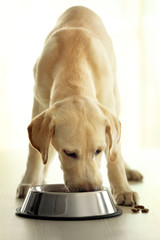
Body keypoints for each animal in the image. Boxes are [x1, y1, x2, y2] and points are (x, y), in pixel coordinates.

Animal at [16, 6, 142, 204]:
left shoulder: (108, 106)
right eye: (69, 153)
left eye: (98, 151)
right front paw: (29, 181)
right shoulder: (39, 104)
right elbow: (35, 153)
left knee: (116, 147)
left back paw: (128, 169)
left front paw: (123, 189)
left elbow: (115, 156)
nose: (90, 189)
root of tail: (80, 7)